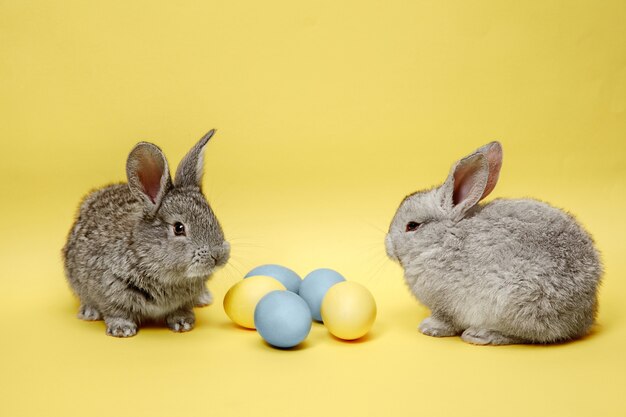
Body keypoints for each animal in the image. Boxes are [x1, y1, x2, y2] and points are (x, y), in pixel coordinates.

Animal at [61, 130, 229, 334]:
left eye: (213, 216)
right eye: (179, 228)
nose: (218, 256)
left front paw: (183, 322)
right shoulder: (109, 287)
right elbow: (116, 310)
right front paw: (122, 329)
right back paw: (89, 312)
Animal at [386, 141, 600, 342]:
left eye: (412, 226)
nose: (387, 246)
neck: (443, 239)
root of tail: (584, 315)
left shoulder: (445, 303)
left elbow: (445, 320)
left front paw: (428, 328)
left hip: (514, 302)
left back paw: (479, 335)